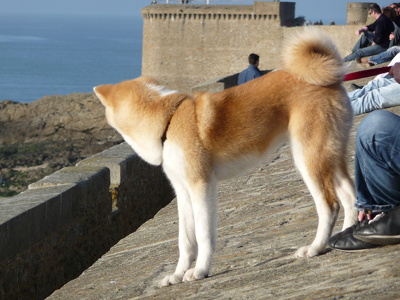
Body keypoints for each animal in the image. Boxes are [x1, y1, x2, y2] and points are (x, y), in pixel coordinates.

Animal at [94, 28, 356, 288]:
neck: (169, 120)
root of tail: (328, 78)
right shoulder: (183, 192)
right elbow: (185, 241)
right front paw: (177, 274)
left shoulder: (201, 186)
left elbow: (204, 235)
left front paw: (200, 270)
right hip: (330, 157)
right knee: (350, 197)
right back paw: (346, 236)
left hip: (308, 158)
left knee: (330, 205)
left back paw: (316, 248)